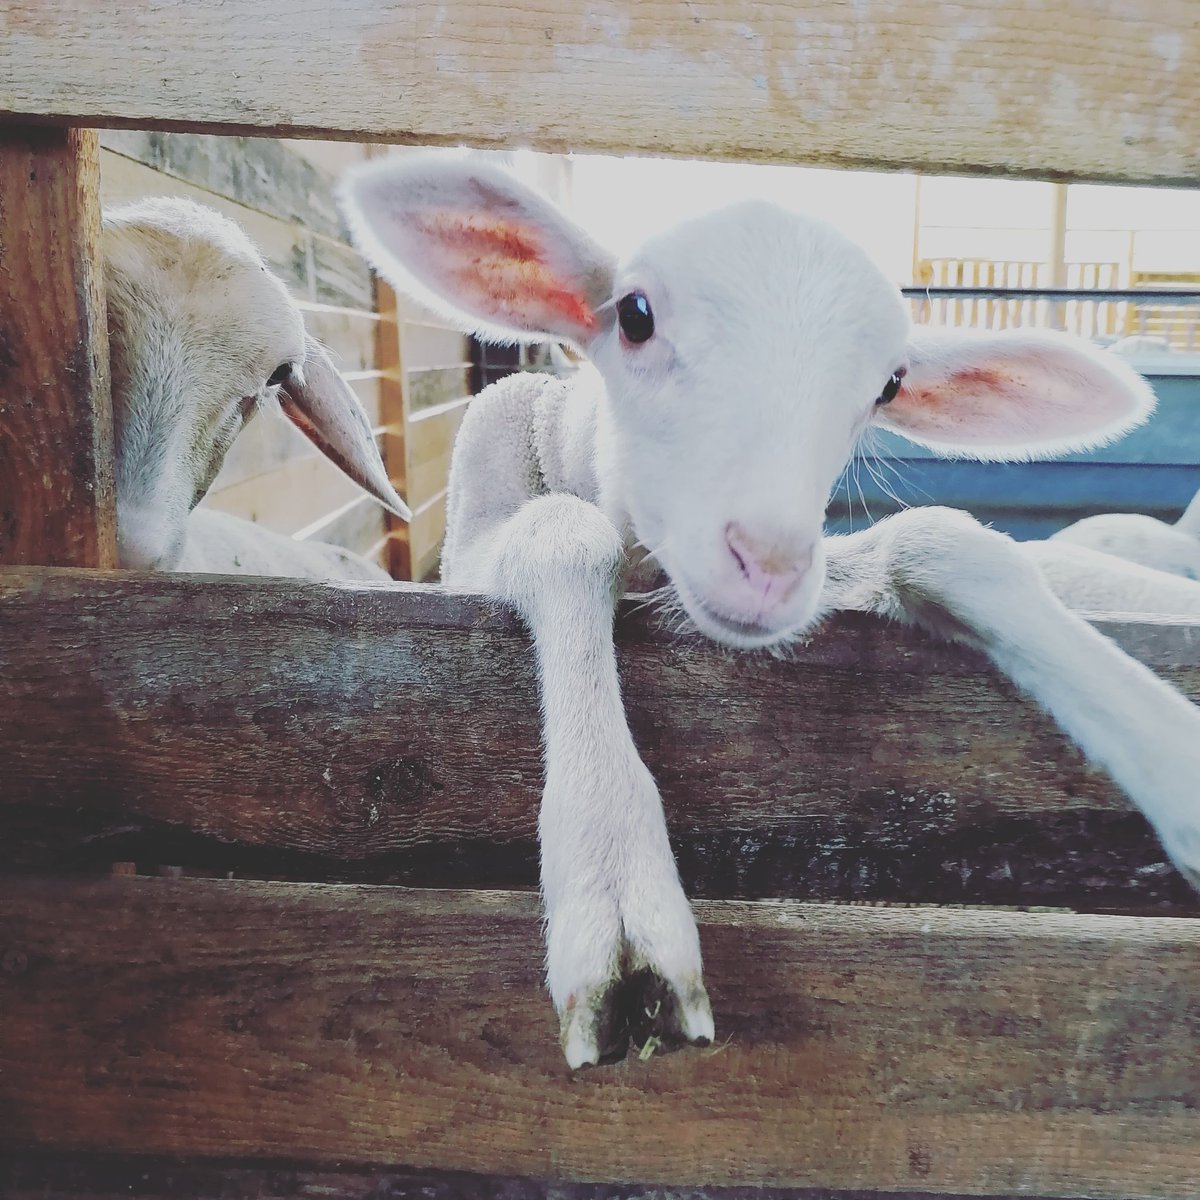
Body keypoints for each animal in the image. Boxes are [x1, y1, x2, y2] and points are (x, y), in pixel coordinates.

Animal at [340, 156, 1200, 1068]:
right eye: (635, 316)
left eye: (888, 384)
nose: (771, 567)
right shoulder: (475, 543)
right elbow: (565, 533)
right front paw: (612, 883)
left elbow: (938, 538)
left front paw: (1174, 759)